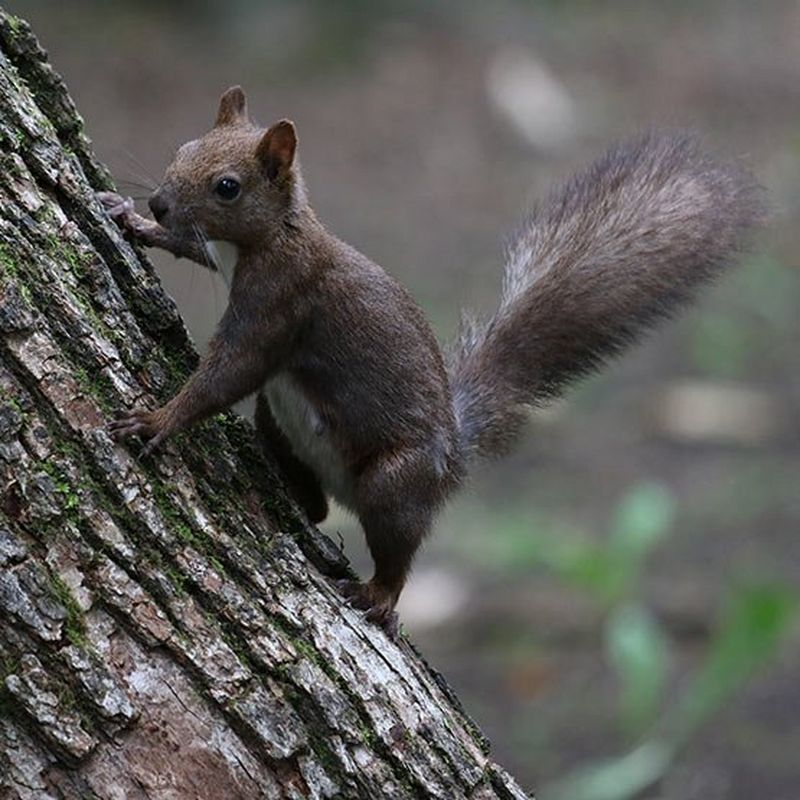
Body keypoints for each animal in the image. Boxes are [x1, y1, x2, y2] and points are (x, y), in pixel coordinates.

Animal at [98, 86, 763, 637]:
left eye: (227, 186)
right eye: (184, 148)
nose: (159, 202)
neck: (269, 238)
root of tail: (454, 456)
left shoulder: (282, 304)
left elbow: (229, 373)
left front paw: (156, 420)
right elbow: (191, 251)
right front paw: (130, 219)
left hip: (395, 480)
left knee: (396, 549)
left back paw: (378, 596)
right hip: (277, 420)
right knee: (317, 505)